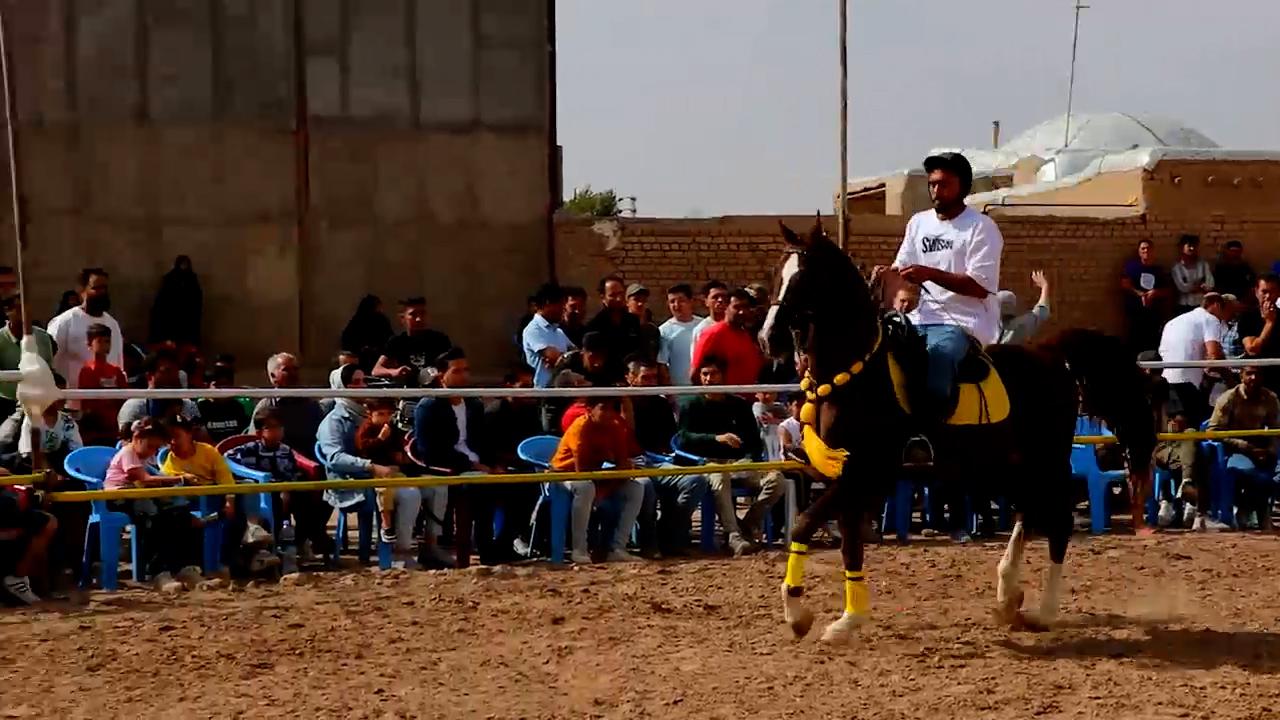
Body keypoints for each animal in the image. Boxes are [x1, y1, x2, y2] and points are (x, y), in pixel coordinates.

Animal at [752, 217, 1157, 638]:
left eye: (804, 278)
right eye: (776, 274)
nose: (768, 339)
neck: (858, 376)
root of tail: (1049, 354)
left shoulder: (864, 473)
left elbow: (802, 525)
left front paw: (798, 614)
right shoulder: (846, 478)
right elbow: (849, 544)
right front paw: (848, 619)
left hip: (1043, 461)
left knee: (1056, 520)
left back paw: (1043, 611)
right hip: (1007, 466)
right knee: (1028, 514)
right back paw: (1007, 596)